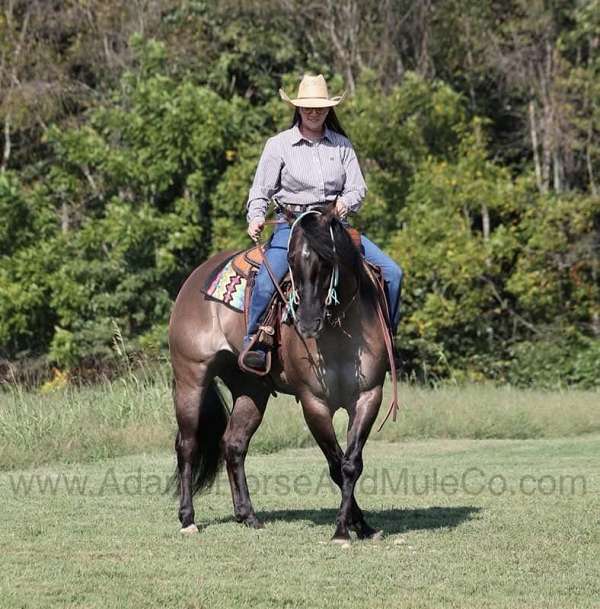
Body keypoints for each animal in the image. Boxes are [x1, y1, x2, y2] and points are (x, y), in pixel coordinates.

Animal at [169, 205, 392, 540]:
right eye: (291, 261)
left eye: (328, 259)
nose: (307, 322)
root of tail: (193, 281)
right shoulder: (314, 402)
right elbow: (335, 464)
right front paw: (343, 529)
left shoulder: (368, 397)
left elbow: (351, 464)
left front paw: (361, 526)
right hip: (190, 379)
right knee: (187, 445)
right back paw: (187, 519)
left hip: (251, 389)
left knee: (233, 444)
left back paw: (247, 515)